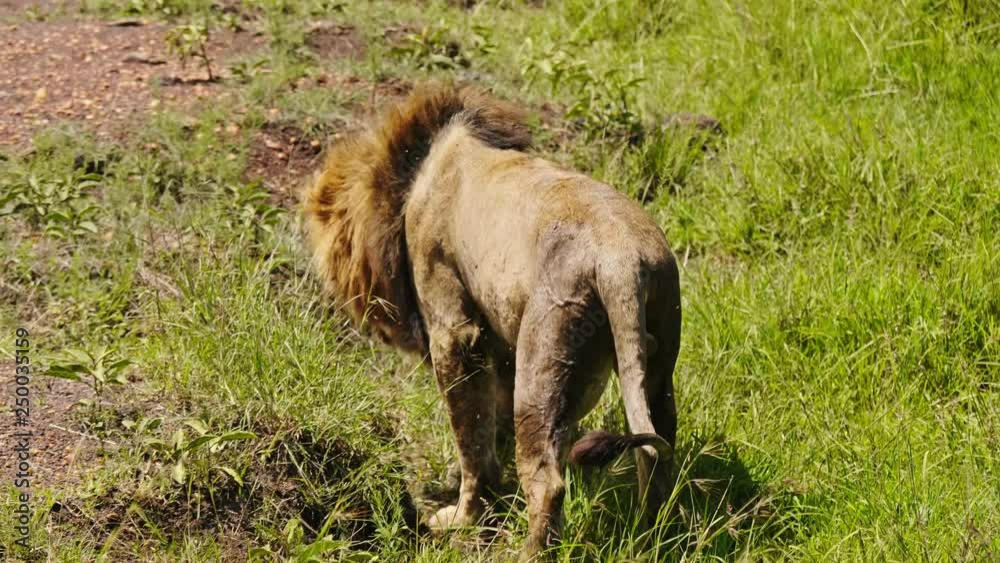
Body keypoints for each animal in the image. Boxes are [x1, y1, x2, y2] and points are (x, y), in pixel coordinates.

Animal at [302, 83, 681, 559]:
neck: (421, 167)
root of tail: (620, 260)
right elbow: (490, 419)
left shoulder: (452, 321)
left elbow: (471, 432)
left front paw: (461, 517)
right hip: (659, 353)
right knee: (657, 452)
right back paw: (653, 537)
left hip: (545, 350)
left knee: (548, 481)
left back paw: (527, 552)